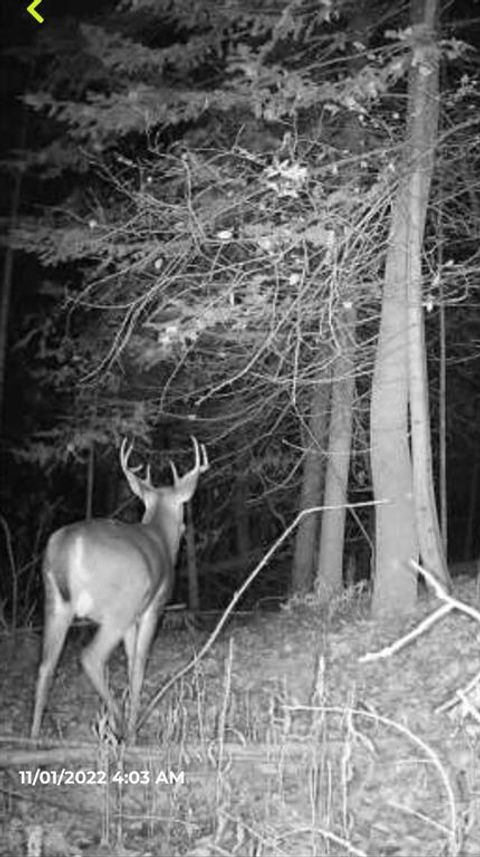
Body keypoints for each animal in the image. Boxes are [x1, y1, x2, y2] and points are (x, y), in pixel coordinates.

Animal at [31, 434, 208, 744]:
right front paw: (135, 728)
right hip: (118, 606)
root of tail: (68, 546)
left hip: (55, 603)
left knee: (45, 667)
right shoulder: (152, 607)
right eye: (181, 510)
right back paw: (123, 728)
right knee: (90, 657)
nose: (185, 529)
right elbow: (138, 664)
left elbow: (129, 661)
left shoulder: (133, 619)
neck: (160, 537)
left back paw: (33, 739)